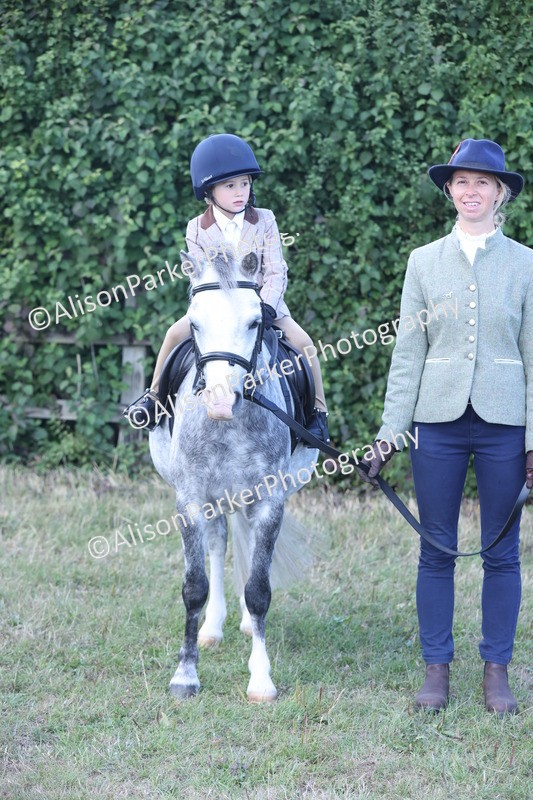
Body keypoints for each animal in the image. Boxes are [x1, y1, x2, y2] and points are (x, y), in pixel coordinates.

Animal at [149, 249, 318, 702]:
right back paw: (212, 628)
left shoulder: (270, 502)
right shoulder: (190, 499)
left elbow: (259, 590)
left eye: (255, 321)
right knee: (219, 544)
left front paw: (261, 680)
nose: (221, 402)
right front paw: (185, 675)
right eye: (194, 323)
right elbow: (194, 586)